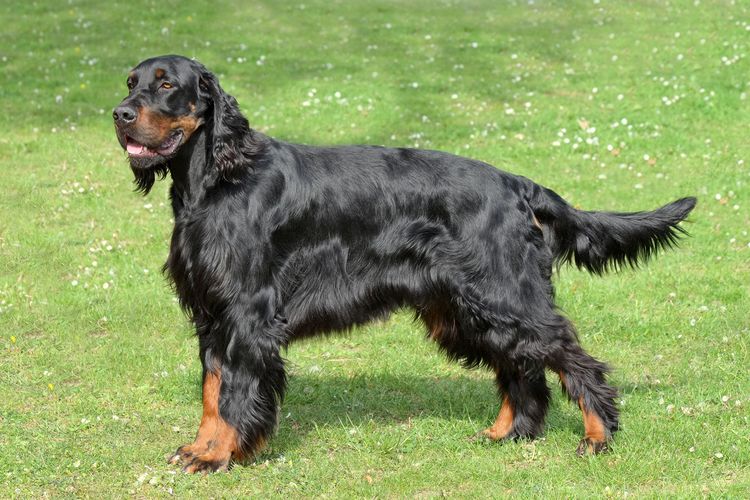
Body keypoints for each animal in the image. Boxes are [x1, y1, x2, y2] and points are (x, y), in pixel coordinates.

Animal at [113, 55, 700, 472]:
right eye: (130, 82)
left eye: (166, 85)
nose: (120, 115)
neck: (216, 180)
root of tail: (517, 185)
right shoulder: (211, 313)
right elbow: (212, 393)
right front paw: (200, 448)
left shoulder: (245, 314)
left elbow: (233, 392)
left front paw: (218, 455)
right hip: (467, 306)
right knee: (522, 367)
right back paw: (507, 433)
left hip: (501, 294)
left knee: (572, 359)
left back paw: (597, 436)